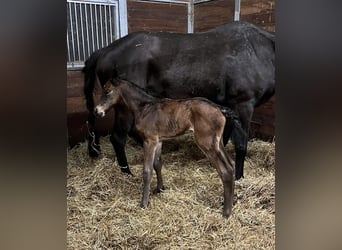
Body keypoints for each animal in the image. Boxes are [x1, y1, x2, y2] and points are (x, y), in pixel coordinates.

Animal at [93, 79, 238, 218]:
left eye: (107, 91)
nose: (97, 111)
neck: (144, 107)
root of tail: (220, 109)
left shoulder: (149, 140)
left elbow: (147, 171)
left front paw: (144, 203)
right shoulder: (158, 141)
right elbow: (157, 164)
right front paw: (160, 189)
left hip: (206, 143)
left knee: (225, 170)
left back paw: (226, 212)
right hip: (218, 143)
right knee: (231, 164)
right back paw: (231, 201)